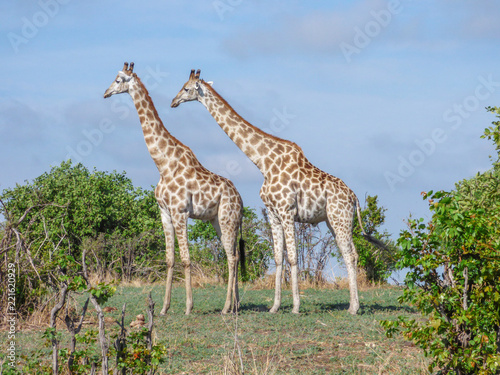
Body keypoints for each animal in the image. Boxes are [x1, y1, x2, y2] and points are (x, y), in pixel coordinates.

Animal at [104, 63, 245, 316]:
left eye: (118, 80)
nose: (106, 93)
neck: (163, 163)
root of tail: (241, 200)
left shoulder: (180, 212)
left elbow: (186, 259)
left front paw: (188, 307)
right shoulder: (164, 212)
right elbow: (169, 259)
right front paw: (163, 307)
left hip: (227, 219)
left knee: (230, 257)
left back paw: (226, 307)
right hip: (219, 221)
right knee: (235, 256)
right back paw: (236, 305)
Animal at [170, 70, 384, 314]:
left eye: (186, 88)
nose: (173, 102)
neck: (263, 162)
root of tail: (354, 197)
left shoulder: (287, 210)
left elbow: (292, 257)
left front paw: (296, 307)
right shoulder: (273, 213)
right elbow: (279, 257)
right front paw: (275, 306)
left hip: (341, 219)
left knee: (349, 255)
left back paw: (354, 308)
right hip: (333, 220)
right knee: (352, 254)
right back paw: (352, 305)